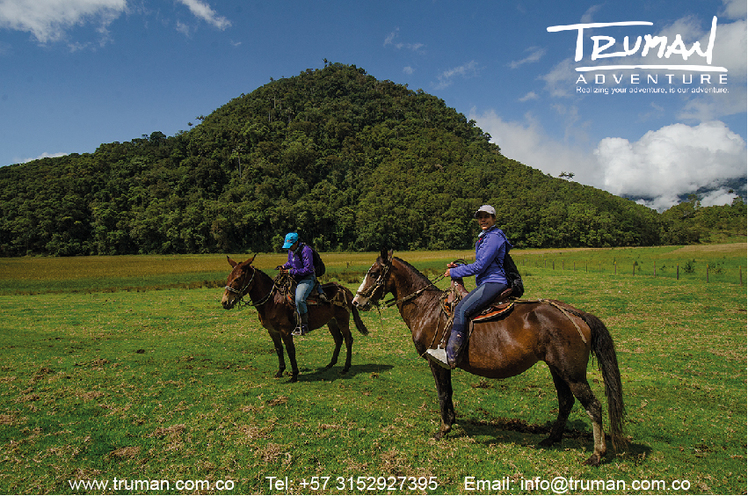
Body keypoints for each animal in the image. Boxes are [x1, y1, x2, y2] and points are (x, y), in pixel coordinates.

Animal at [221, 256, 370, 384]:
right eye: (228, 277)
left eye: (238, 278)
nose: (225, 302)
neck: (272, 301)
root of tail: (344, 289)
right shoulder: (272, 331)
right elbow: (279, 349)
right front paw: (280, 371)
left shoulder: (286, 331)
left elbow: (290, 350)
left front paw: (294, 375)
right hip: (331, 322)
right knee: (338, 340)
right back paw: (330, 364)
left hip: (342, 320)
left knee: (348, 340)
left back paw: (345, 367)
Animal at [350, 250, 624, 466]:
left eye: (374, 273)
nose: (356, 301)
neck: (427, 309)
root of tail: (575, 313)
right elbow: (448, 392)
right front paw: (450, 422)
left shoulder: (436, 362)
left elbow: (443, 393)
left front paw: (443, 429)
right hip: (557, 369)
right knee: (566, 401)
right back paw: (551, 438)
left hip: (571, 373)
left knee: (593, 406)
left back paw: (596, 455)